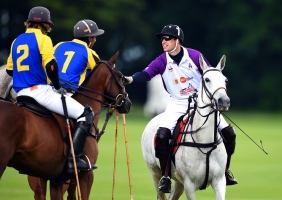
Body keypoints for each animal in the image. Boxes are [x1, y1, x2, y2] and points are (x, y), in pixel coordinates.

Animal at [143, 55, 229, 200]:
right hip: (155, 172)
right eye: (207, 79)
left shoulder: (219, 181)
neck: (204, 141)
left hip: (179, 182)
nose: (224, 101)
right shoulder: (190, 184)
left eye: (225, 80)